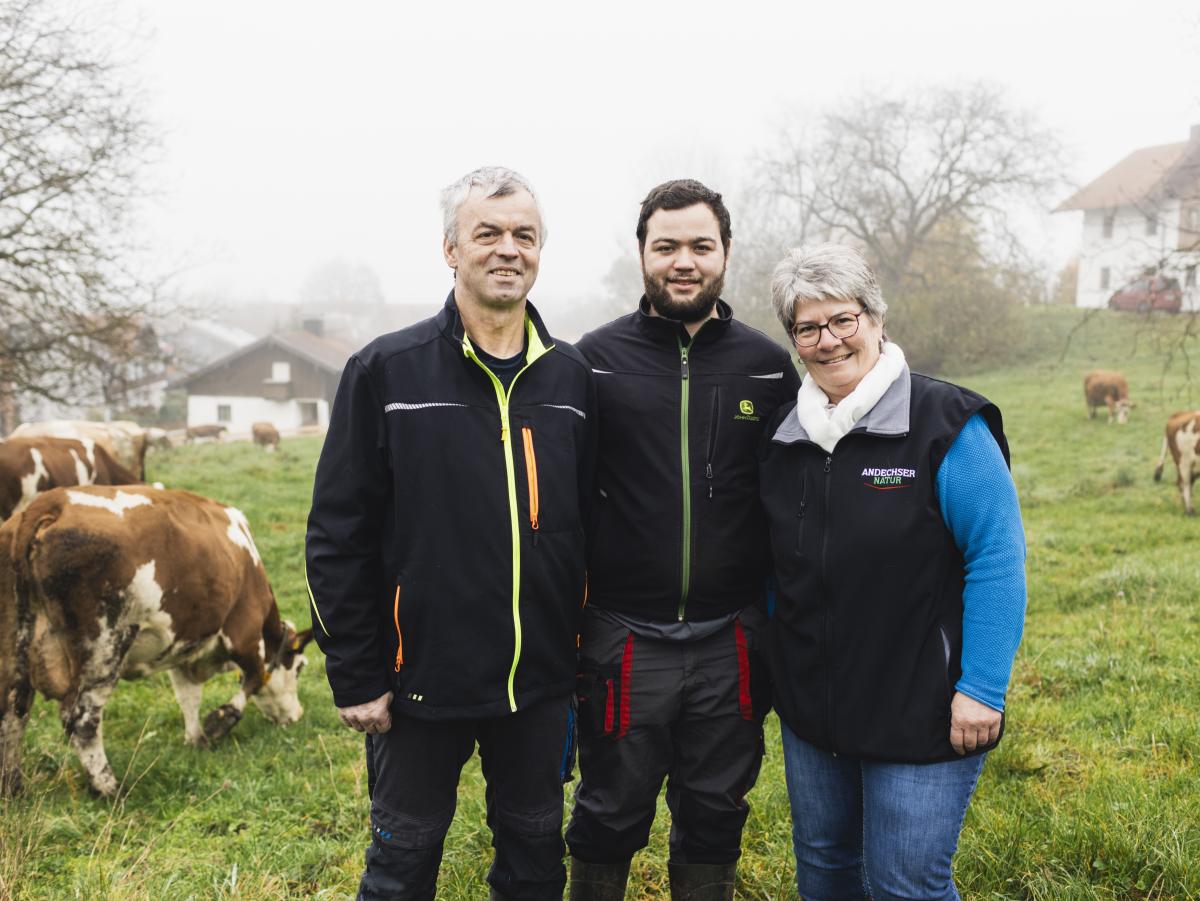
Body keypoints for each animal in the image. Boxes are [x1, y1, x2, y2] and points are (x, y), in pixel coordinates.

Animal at [0, 487, 314, 796]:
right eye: (299, 668)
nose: (297, 715)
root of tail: (49, 504)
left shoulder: (184, 647)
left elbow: (188, 697)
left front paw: (196, 738)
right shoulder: (244, 631)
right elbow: (254, 678)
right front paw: (220, 720)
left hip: (16, 646)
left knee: (14, 710)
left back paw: (12, 785)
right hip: (104, 645)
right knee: (80, 717)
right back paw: (109, 788)